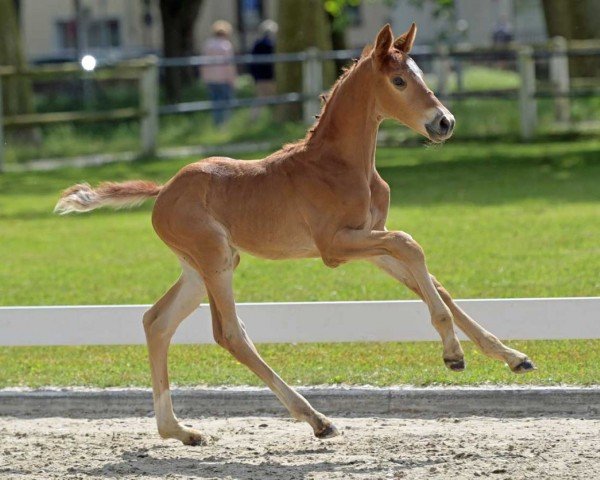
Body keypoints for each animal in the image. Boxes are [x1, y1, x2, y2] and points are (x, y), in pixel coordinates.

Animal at [56, 25, 536, 446]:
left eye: (421, 75)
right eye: (399, 80)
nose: (444, 123)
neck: (340, 165)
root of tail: (164, 190)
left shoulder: (369, 239)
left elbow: (430, 281)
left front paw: (513, 357)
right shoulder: (336, 246)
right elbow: (411, 244)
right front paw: (453, 355)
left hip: (201, 268)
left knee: (157, 322)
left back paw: (181, 431)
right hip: (214, 259)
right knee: (229, 334)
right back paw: (317, 420)